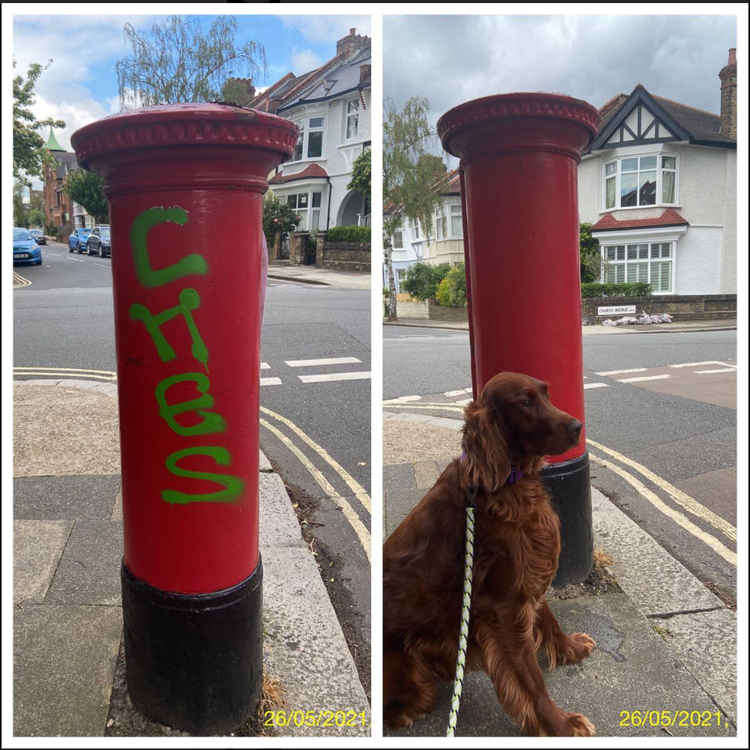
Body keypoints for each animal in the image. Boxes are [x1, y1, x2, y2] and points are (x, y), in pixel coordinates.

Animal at [384, 374, 596, 736]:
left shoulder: (528, 573)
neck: (506, 485)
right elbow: (532, 681)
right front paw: (562, 725)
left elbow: (548, 616)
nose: (576, 426)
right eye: (524, 402)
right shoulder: (503, 609)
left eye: (546, 393)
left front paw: (570, 648)